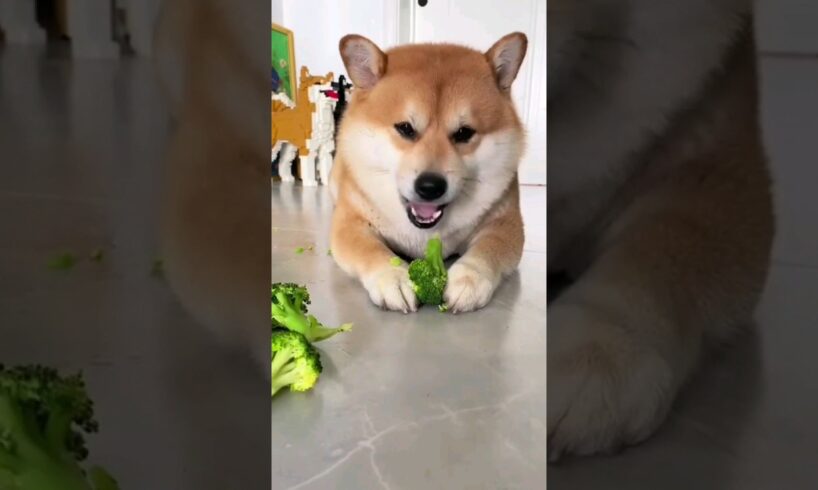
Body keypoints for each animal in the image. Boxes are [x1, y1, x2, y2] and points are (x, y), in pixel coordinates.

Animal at [330, 31, 528, 314]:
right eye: (405, 128)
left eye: (464, 133)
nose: (430, 187)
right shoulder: (350, 224)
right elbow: (368, 249)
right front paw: (392, 277)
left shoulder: (505, 223)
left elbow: (489, 249)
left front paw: (469, 279)